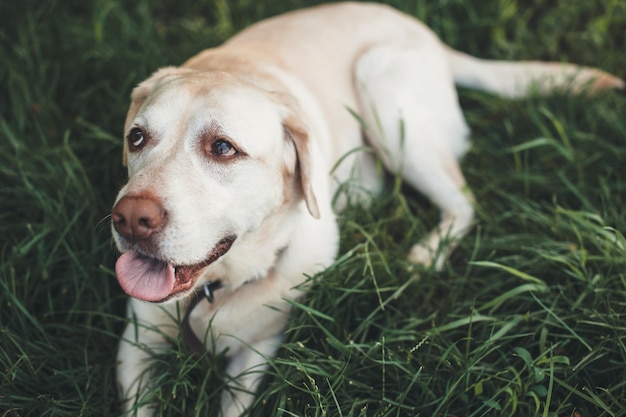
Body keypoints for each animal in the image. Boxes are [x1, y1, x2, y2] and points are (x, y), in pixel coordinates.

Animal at [111, 1, 620, 414]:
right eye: (136, 137)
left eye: (222, 147)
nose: (130, 219)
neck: (213, 291)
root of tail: (429, 36)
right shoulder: (135, 348)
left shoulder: (257, 350)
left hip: (383, 90)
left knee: (463, 201)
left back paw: (427, 253)